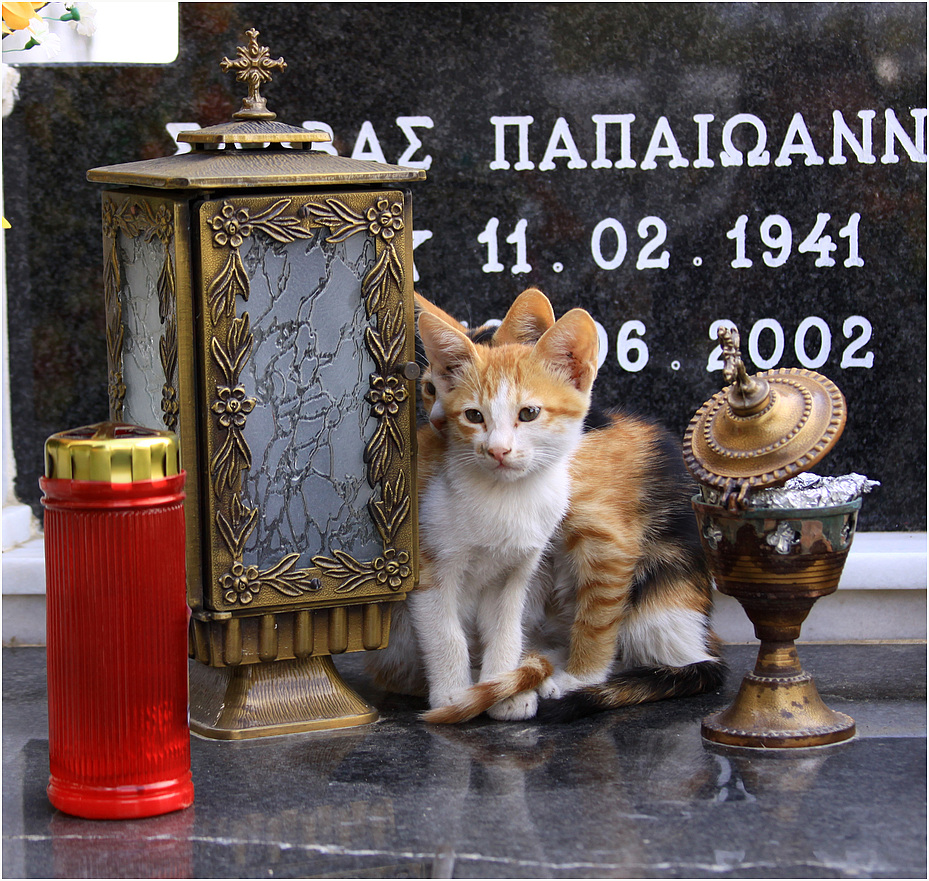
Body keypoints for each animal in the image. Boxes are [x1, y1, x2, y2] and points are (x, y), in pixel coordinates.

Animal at [366, 300, 600, 720]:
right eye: (474, 416)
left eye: (529, 413)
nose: (498, 450)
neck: (505, 498)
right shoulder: (427, 570)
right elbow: (445, 634)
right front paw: (454, 695)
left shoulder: (517, 574)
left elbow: (506, 630)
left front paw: (503, 689)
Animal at [410, 290, 720, 720]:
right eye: (431, 387)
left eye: (528, 413)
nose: (439, 422)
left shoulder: (609, 539)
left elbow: (597, 617)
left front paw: (580, 678)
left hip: (665, 594)